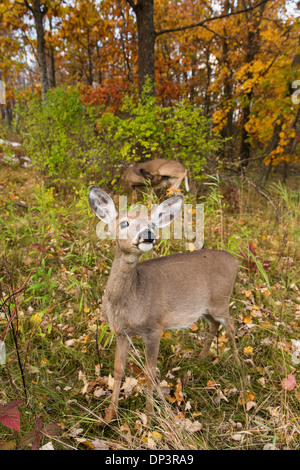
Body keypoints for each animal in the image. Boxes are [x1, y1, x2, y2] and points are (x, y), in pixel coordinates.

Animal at [88, 185, 239, 420]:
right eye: (124, 223)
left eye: (151, 224)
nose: (148, 235)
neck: (130, 300)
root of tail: (236, 260)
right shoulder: (121, 332)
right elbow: (118, 370)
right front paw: (109, 416)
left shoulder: (154, 328)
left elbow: (150, 373)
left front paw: (150, 416)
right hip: (205, 309)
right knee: (215, 325)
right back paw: (201, 358)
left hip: (221, 301)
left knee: (231, 325)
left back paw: (238, 365)